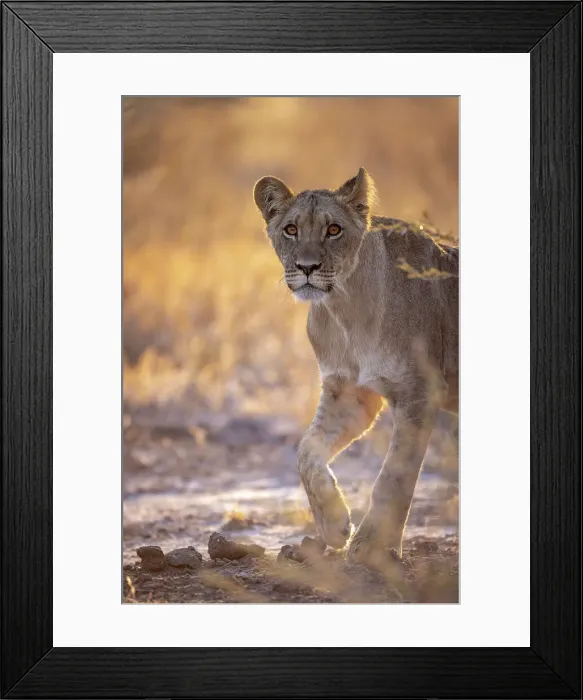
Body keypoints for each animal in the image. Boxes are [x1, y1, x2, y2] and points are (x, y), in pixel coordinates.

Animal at [253, 168, 458, 567]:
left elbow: (394, 473)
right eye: (291, 229)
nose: (306, 268)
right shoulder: (350, 393)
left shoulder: (420, 391)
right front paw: (334, 526)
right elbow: (306, 452)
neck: (345, 309)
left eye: (334, 230)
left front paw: (371, 545)